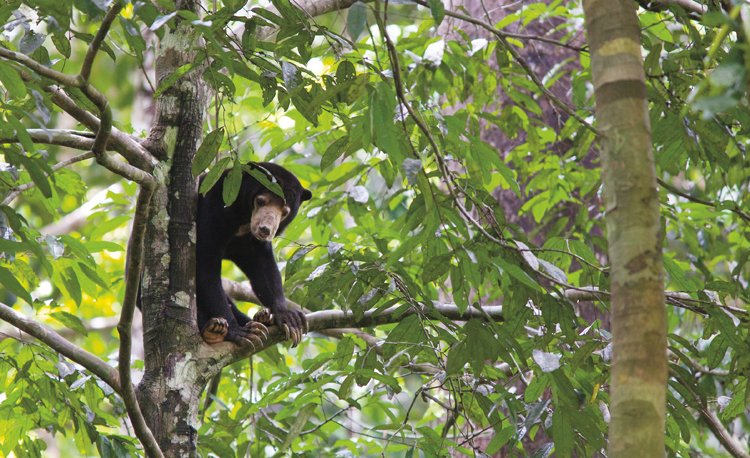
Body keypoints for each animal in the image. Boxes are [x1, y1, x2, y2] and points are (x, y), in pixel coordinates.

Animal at [197, 163, 312, 346]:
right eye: (260, 201)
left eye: (285, 211)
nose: (265, 229)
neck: (242, 222)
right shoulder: (213, 209)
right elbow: (205, 265)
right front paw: (238, 331)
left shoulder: (250, 243)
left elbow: (263, 268)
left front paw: (288, 317)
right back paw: (214, 329)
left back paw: (262, 319)